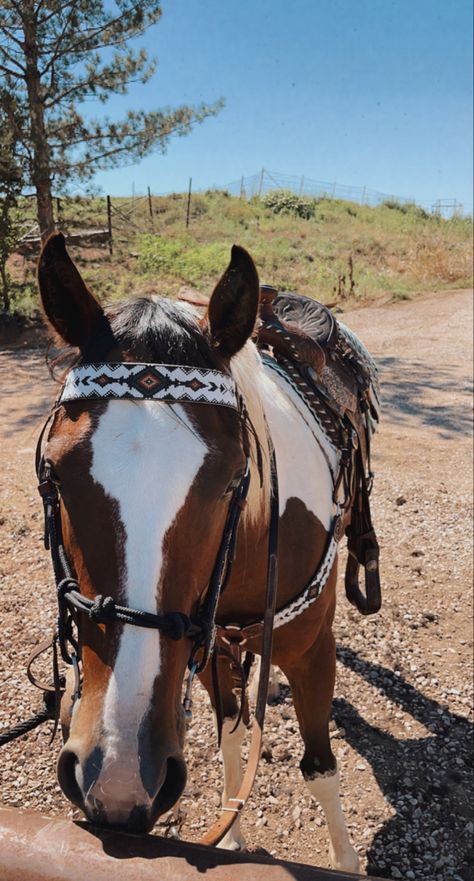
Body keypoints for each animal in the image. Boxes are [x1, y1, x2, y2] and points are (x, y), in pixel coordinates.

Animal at [36, 230, 378, 868]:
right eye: (56, 474)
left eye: (230, 480)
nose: (118, 773)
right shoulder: (214, 643)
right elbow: (231, 734)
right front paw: (233, 834)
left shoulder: (315, 650)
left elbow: (320, 768)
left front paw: (346, 863)